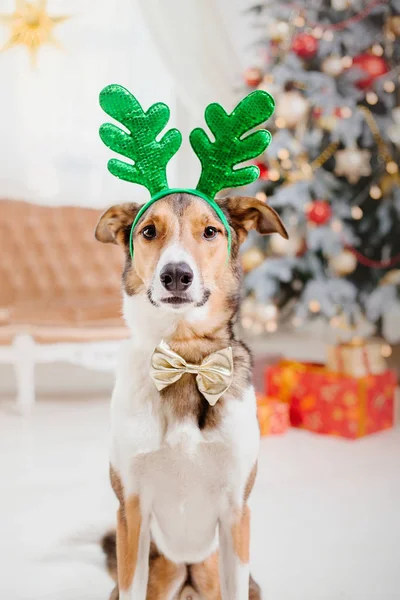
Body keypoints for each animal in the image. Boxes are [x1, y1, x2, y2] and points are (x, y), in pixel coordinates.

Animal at [95, 193, 290, 600]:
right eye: (149, 231)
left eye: (211, 231)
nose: (175, 275)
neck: (184, 358)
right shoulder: (131, 510)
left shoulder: (236, 512)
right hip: (162, 567)